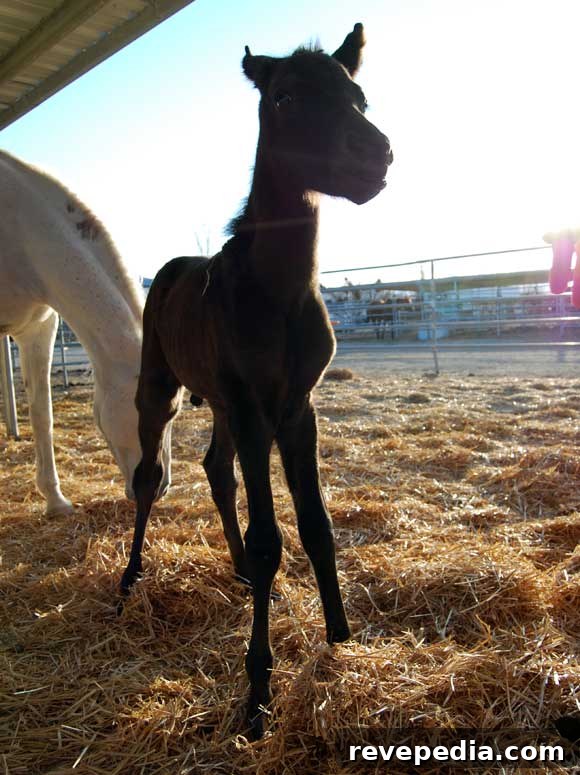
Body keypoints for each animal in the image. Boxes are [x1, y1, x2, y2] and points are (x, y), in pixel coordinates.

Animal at [120, 23, 392, 738]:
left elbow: (316, 523)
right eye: (286, 97)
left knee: (216, 470)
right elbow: (274, 538)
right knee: (147, 477)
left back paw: (238, 567)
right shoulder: (252, 409)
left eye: (359, 96)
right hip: (161, 388)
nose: (375, 156)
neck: (280, 293)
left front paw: (340, 639)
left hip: (220, 404)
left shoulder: (296, 409)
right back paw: (130, 578)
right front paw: (257, 691)